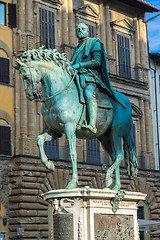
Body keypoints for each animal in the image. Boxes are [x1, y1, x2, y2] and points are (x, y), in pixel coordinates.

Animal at [13, 46, 138, 189]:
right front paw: (49, 164)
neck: (60, 95)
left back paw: (108, 178)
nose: (30, 95)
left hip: (115, 133)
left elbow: (72, 153)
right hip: (104, 138)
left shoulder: (69, 128)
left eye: (26, 76)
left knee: (119, 156)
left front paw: (73, 182)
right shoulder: (54, 131)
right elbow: (39, 140)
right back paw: (114, 186)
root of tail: (127, 102)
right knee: (114, 157)